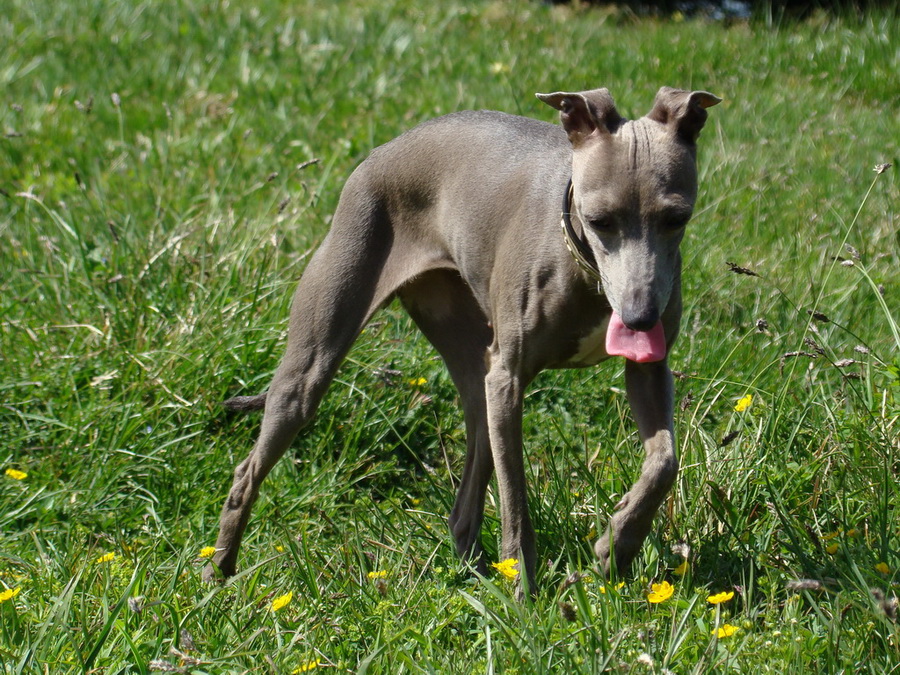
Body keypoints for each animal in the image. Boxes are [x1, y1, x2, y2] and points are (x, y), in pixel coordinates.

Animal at [202, 86, 716, 592]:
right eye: (600, 220)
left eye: (677, 218)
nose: (639, 318)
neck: (580, 263)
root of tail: (382, 151)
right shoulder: (508, 381)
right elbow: (514, 500)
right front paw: (525, 594)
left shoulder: (648, 371)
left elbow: (664, 461)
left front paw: (618, 544)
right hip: (315, 360)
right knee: (249, 468)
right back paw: (217, 571)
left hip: (471, 366)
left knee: (466, 484)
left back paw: (474, 570)